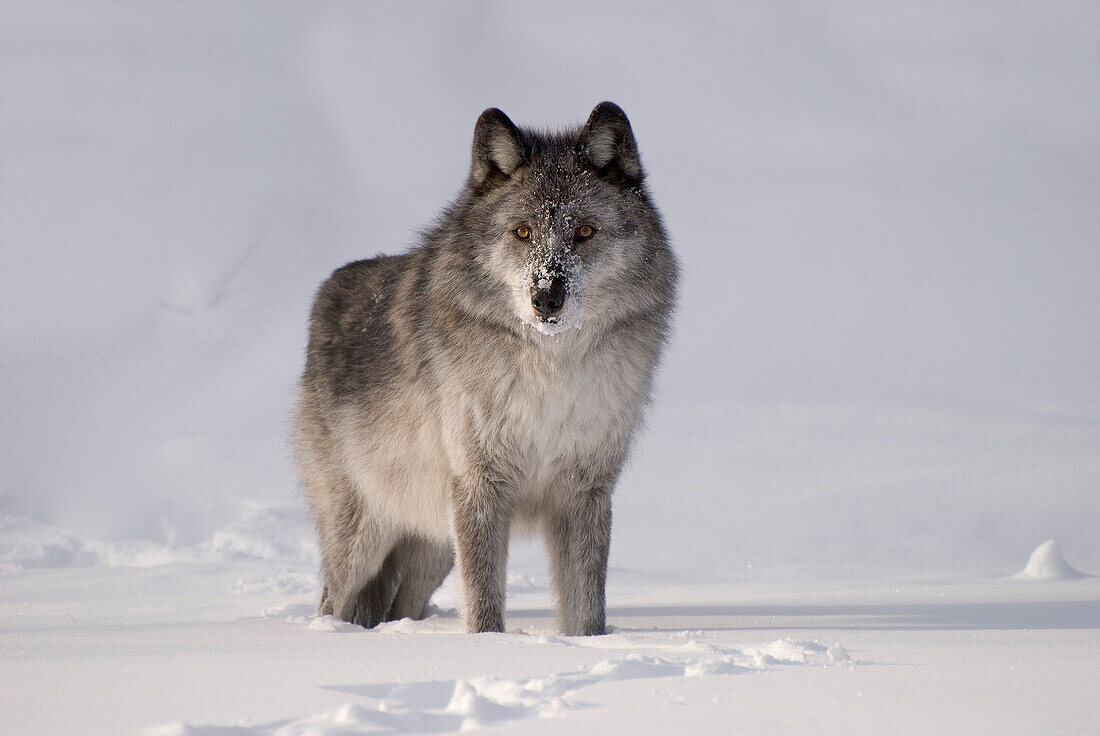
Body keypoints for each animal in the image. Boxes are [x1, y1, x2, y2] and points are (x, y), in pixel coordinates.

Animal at [297, 100, 682, 633]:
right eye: (523, 232)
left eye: (584, 232)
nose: (547, 298)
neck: (550, 374)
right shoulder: (480, 486)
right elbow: (482, 598)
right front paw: (488, 645)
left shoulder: (585, 491)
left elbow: (586, 602)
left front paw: (588, 641)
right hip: (365, 536)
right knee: (333, 599)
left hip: (434, 546)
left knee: (401, 605)